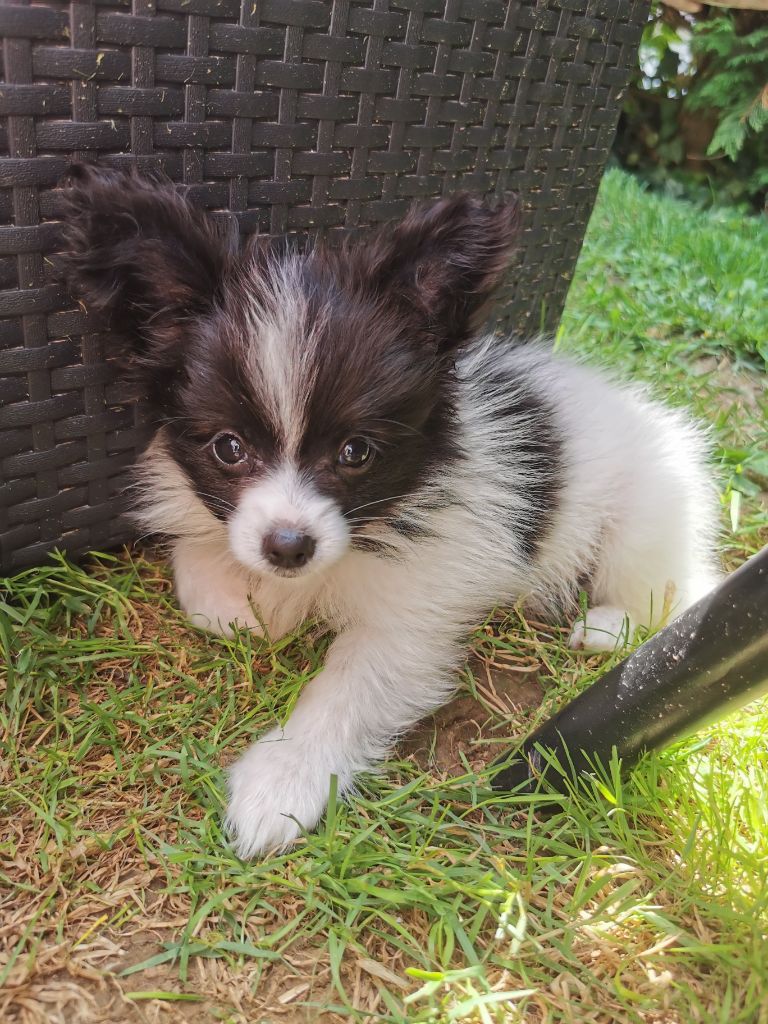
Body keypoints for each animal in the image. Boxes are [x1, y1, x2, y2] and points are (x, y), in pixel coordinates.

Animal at [61, 164, 719, 858]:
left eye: (356, 452)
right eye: (228, 448)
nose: (288, 548)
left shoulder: (410, 618)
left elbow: (348, 688)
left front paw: (282, 781)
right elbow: (212, 591)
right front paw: (252, 608)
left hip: (642, 523)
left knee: (671, 595)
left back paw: (607, 629)